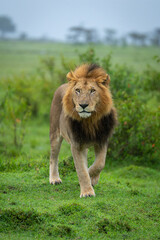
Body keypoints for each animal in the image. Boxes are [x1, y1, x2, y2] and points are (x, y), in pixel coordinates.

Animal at [49, 63, 117, 197]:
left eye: (92, 90)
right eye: (78, 90)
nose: (83, 105)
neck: (89, 121)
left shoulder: (102, 141)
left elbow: (100, 164)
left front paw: (92, 178)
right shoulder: (76, 144)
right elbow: (81, 170)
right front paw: (87, 191)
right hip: (55, 134)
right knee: (53, 157)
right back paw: (54, 179)